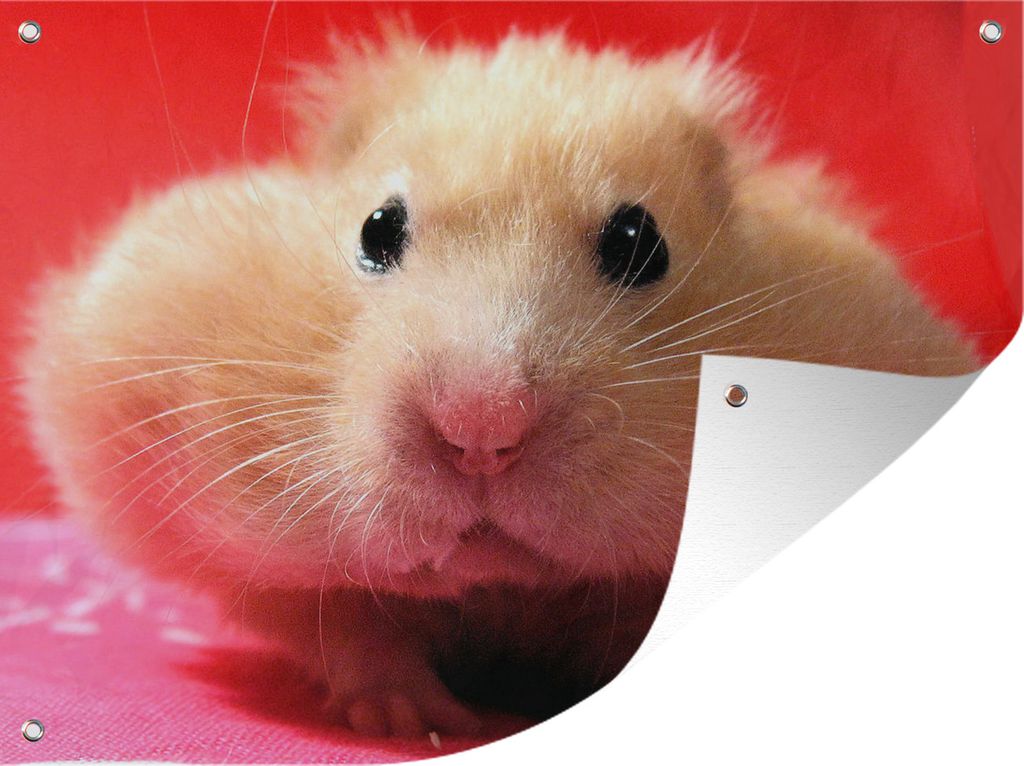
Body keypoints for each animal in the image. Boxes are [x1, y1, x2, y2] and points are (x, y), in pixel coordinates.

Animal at [20, 33, 978, 737]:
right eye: (377, 229)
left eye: (640, 242)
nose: (481, 433)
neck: (503, 590)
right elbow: (351, 629)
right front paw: (418, 721)